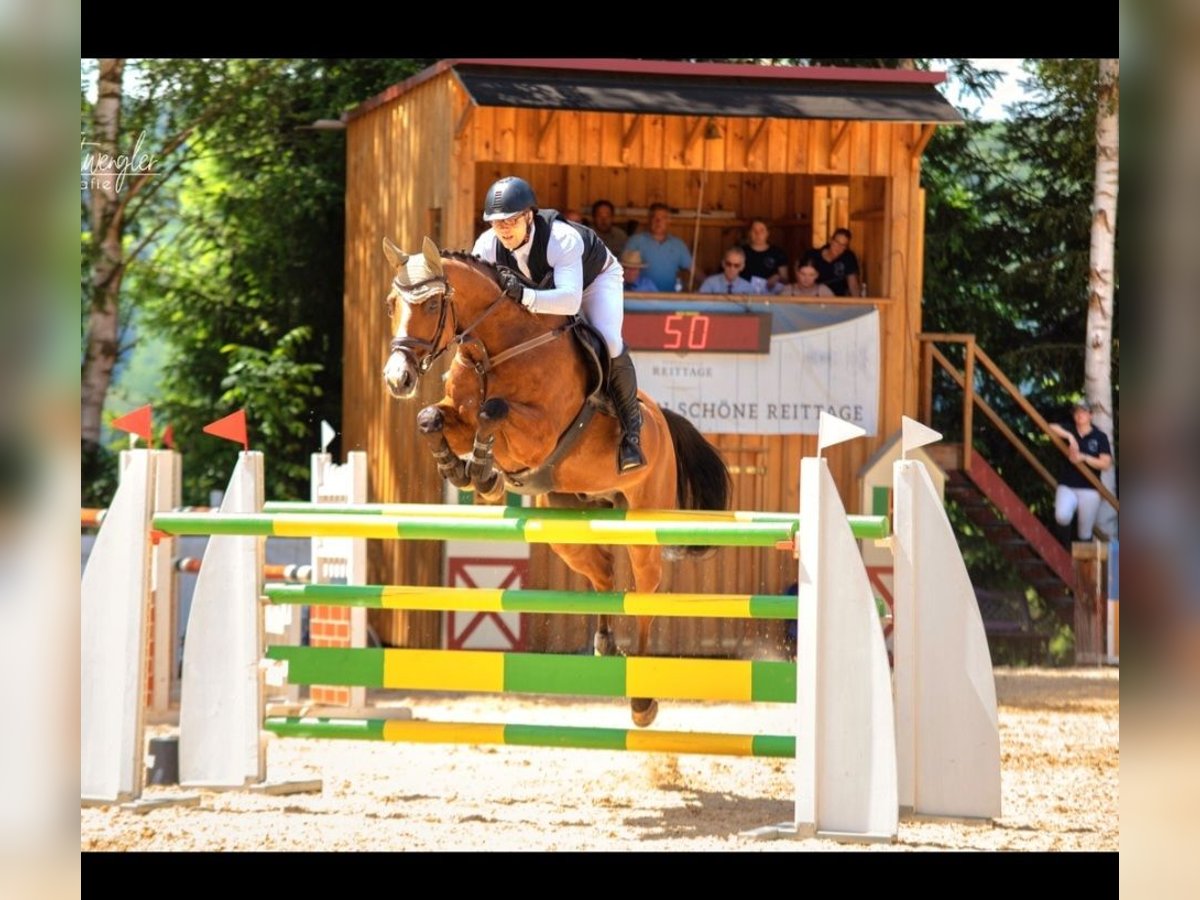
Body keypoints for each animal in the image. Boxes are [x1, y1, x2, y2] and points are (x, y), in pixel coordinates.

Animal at [381, 236, 729, 729]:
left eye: (431, 304)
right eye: (393, 304)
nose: (398, 379)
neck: (495, 350)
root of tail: (662, 419)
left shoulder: (538, 433)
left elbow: (493, 411)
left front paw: (484, 474)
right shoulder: (457, 416)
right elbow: (431, 417)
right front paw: (465, 471)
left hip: (643, 521)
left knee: (645, 593)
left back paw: (642, 700)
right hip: (568, 521)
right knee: (605, 574)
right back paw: (605, 644)